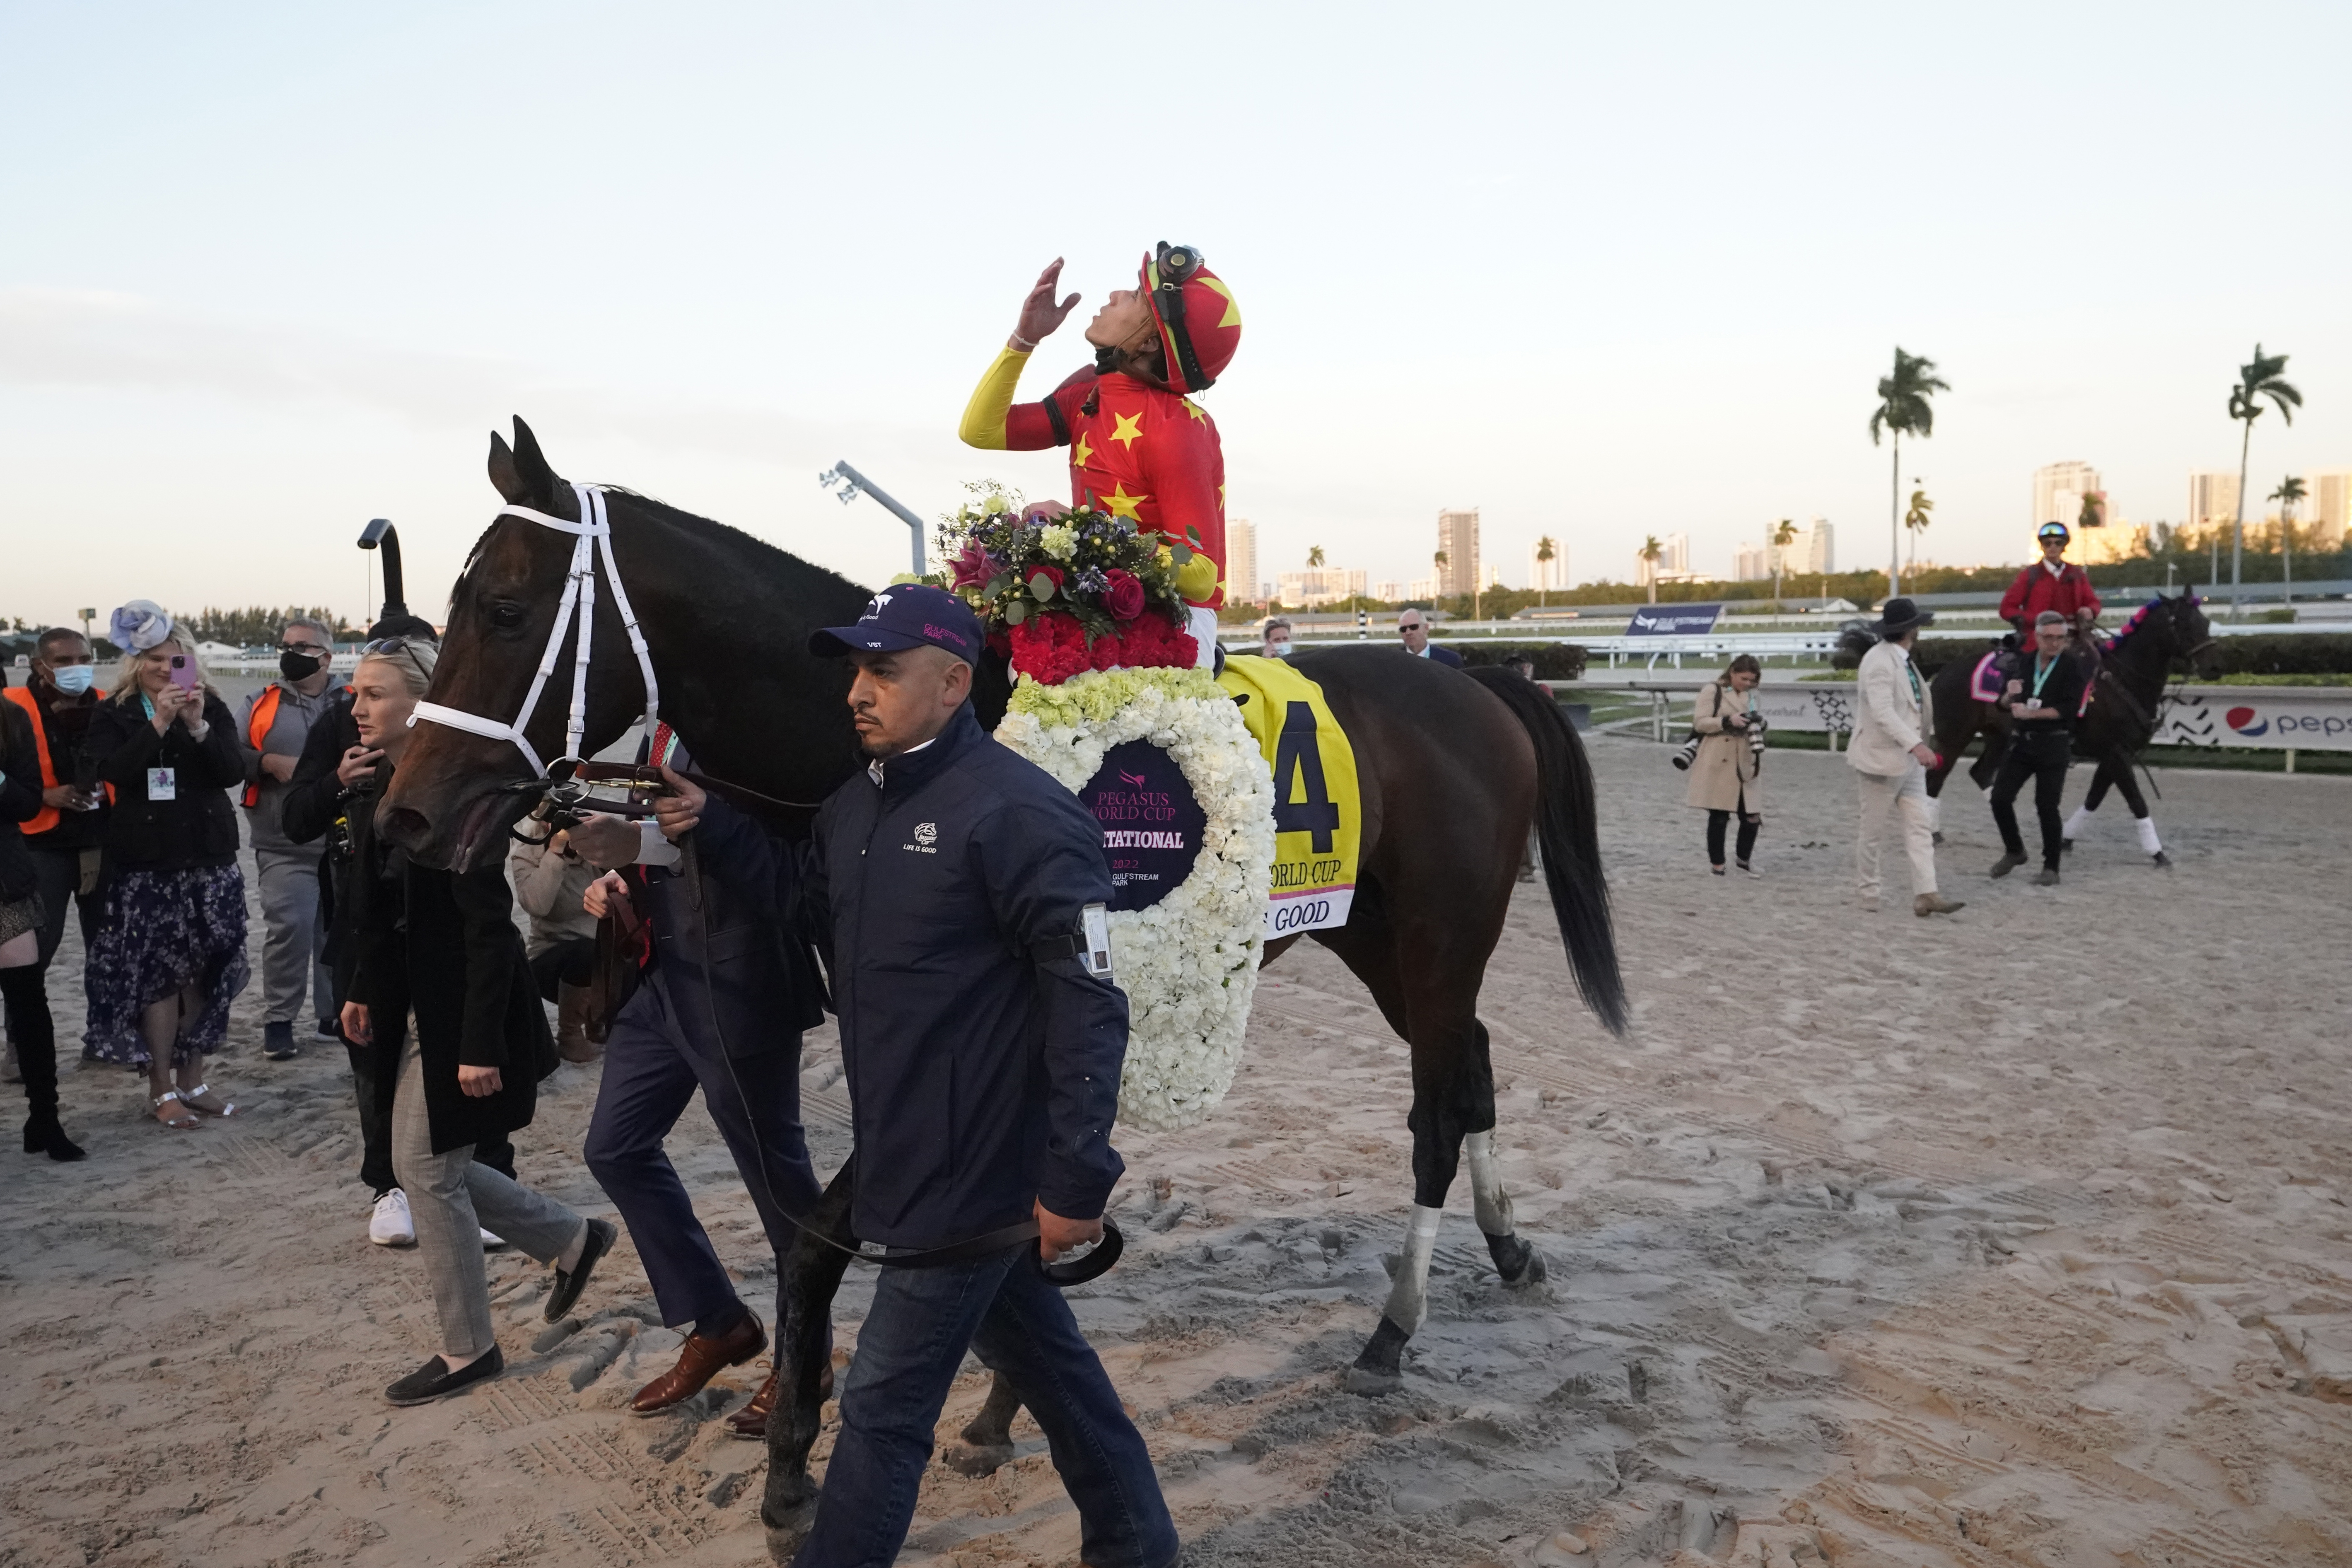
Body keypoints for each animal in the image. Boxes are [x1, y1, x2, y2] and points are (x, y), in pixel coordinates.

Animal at [386, 416, 1628, 1532]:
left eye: (504, 609)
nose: (407, 813)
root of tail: (1482, 686)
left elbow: (832, 1235)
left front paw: (798, 1457)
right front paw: (991, 1406)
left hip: (1434, 937)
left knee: (1433, 1110)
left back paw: (1393, 1327)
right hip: (1379, 940)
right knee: (1470, 1067)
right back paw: (1507, 1248)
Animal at [1919, 594, 2211, 870]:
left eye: (2206, 622)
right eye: (2185, 624)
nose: (2213, 665)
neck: (2120, 680)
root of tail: (1946, 669)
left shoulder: (2117, 754)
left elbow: (2095, 797)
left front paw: (2066, 838)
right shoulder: (2115, 752)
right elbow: (2136, 800)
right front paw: (2158, 853)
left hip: (1999, 739)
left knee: (1980, 774)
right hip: (1954, 736)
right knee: (1935, 778)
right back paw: (1933, 833)